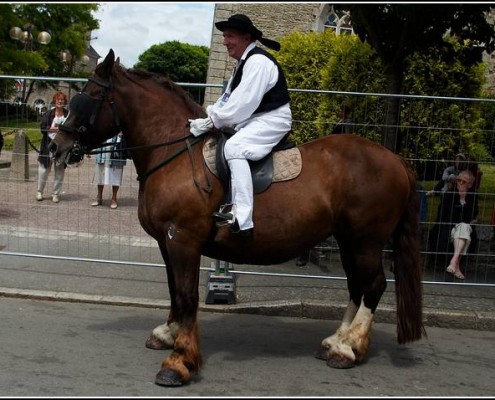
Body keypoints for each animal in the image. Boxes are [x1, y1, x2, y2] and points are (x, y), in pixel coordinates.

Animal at [50, 48, 426, 386]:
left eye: (88, 97)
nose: (55, 147)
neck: (174, 153)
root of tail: (396, 158)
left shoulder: (183, 240)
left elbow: (187, 296)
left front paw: (180, 361)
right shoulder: (166, 242)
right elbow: (174, 291)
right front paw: (169, 332)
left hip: (366, 241)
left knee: (373, 286)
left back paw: (350, 349)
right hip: (349, 241)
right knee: (357, 286)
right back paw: (337, 341)